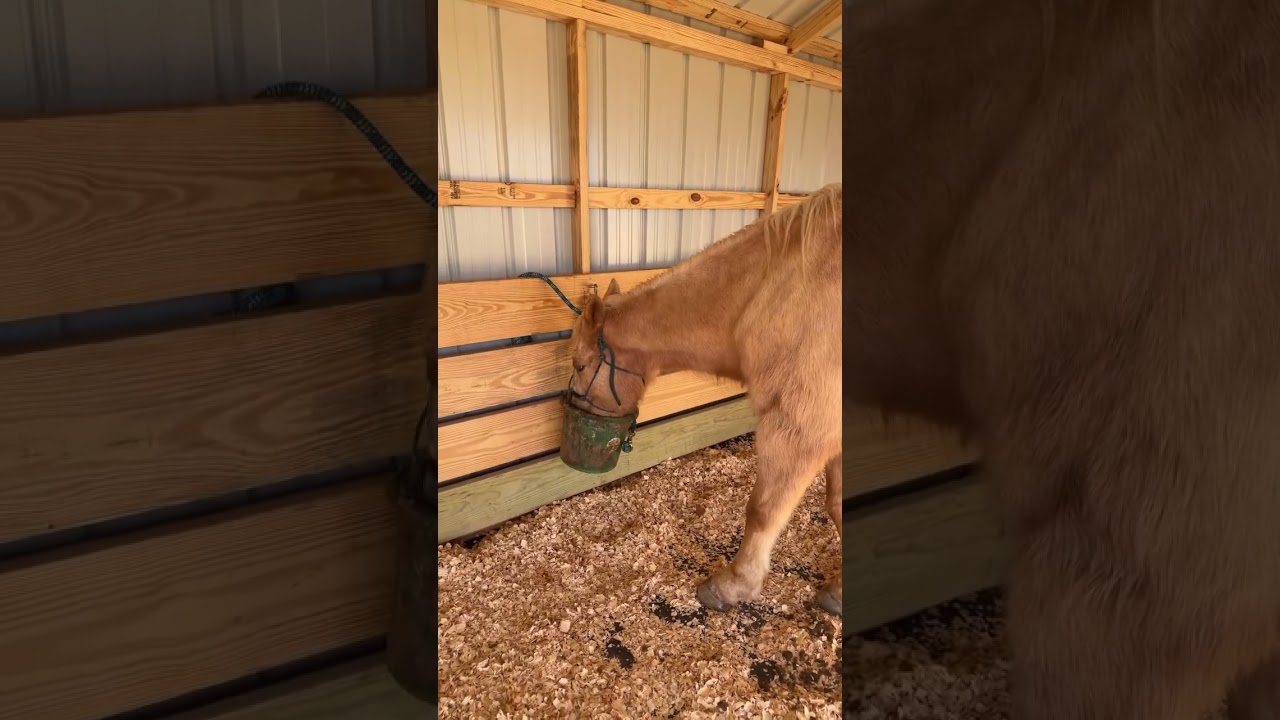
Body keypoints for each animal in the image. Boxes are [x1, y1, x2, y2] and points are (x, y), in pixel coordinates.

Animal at [565, 183, 843, 616]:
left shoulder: (801, 426)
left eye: (579, 364)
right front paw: (841, 590)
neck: (774, 290)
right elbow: (837, 505)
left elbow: (762, 510)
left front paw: (733, 585)